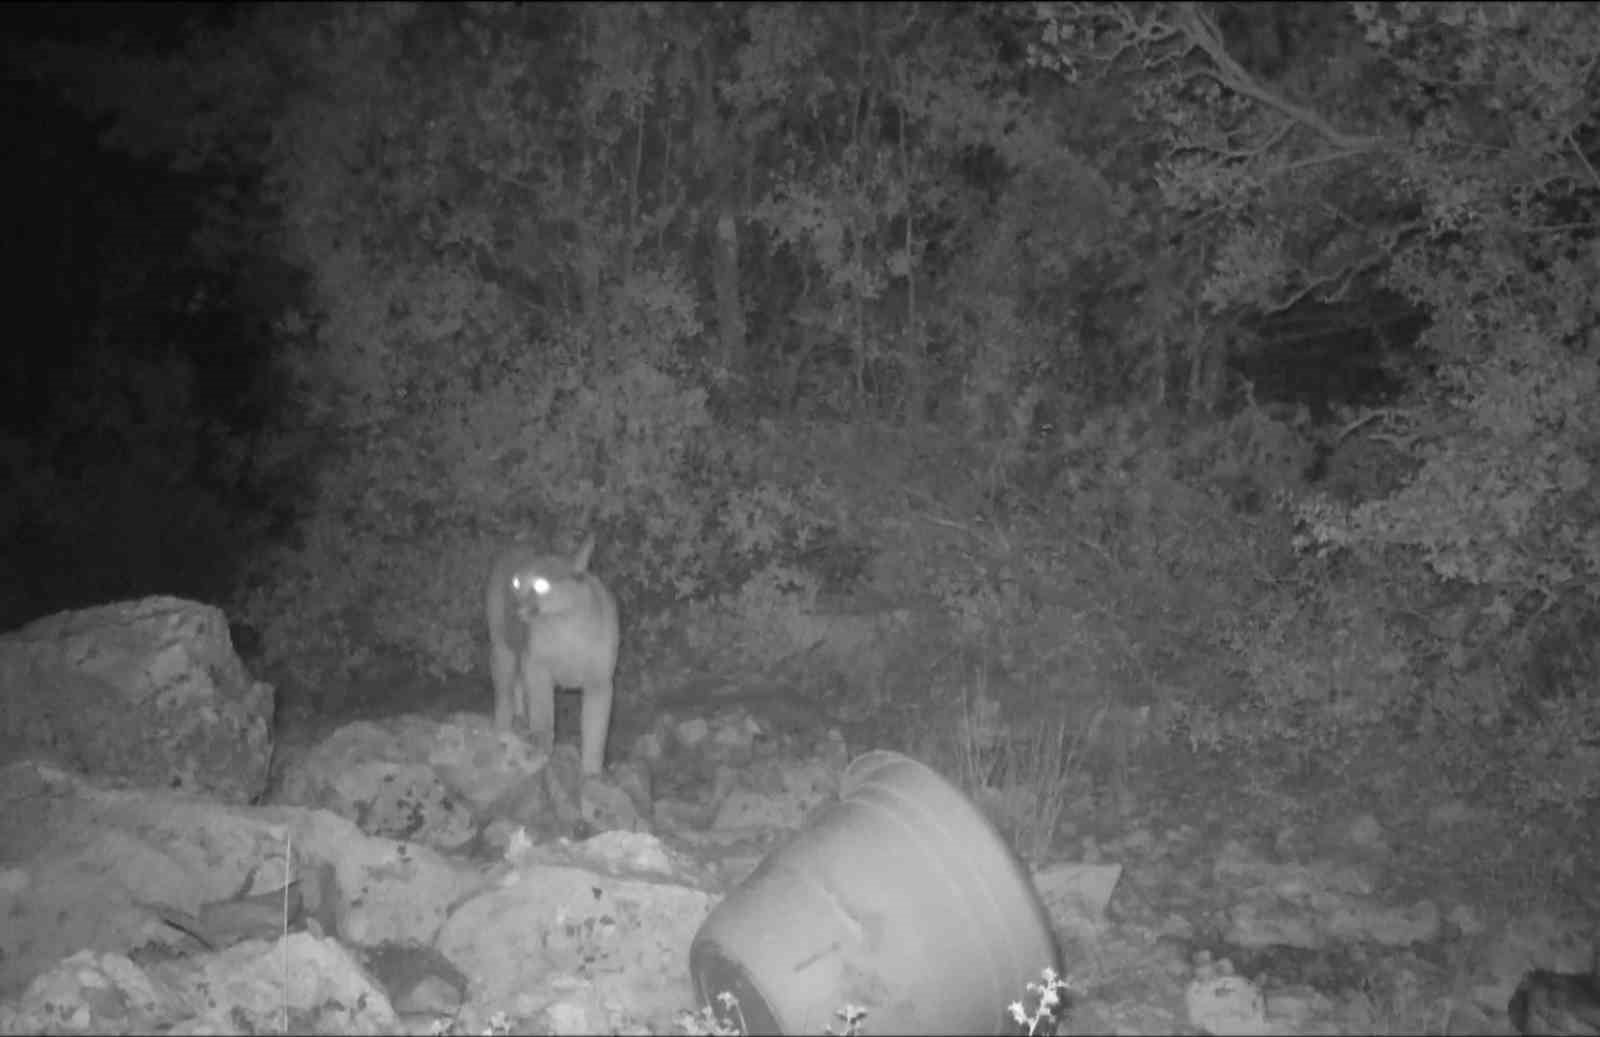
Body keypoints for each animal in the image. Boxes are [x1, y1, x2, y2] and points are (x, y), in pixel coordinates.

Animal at [480, 537, 617, 774]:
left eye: (541, 585)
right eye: (516, 583)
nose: (515, 606)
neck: (566, 627)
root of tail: (517, 544)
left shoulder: (599, 682)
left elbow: (596, 731)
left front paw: (591, 772)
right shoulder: (538, 669)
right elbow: (543, 712)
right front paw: (540, 751)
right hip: (503, 649)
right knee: (504, 695)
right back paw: (504, 731)